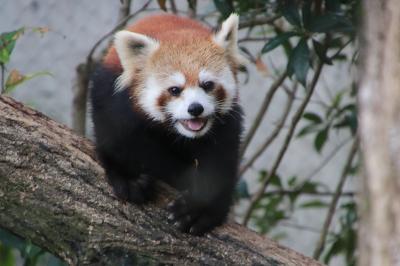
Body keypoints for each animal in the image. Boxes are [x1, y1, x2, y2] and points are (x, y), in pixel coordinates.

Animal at [90, 13, 245, 236]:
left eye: (207, 85)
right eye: (174, 90)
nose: (195, 108)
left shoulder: (226, 125)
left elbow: (219, 163)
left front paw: (198, 210)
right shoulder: (111, 98)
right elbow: (115, 138)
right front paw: (129, 177)